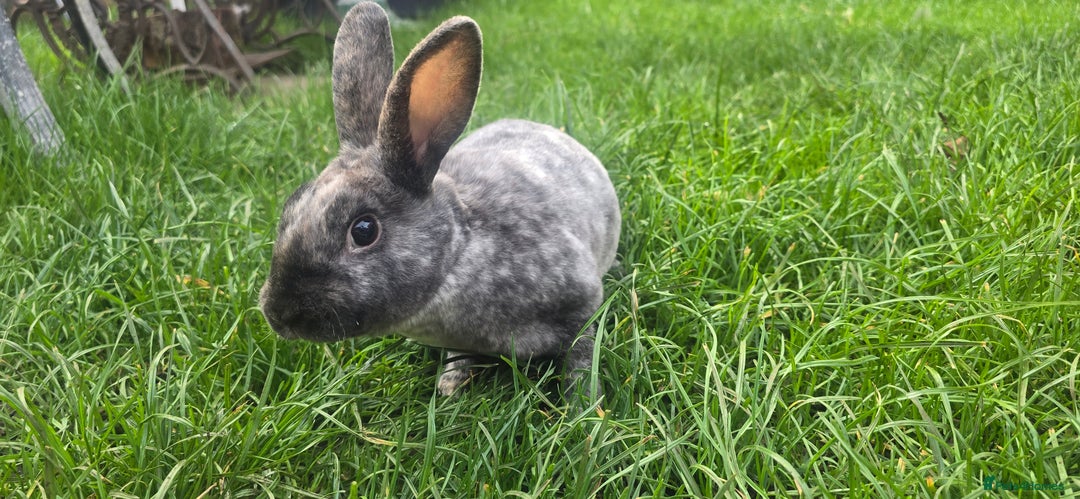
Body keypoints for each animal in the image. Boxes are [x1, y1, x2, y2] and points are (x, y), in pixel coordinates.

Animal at [258, 1, 621, 402]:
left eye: (364, 230)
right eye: (291, 206)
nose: (277, 315)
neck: (461, 250)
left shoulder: (581, 301)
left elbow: (581, 357)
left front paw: (584, 405)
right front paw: (450, 386)